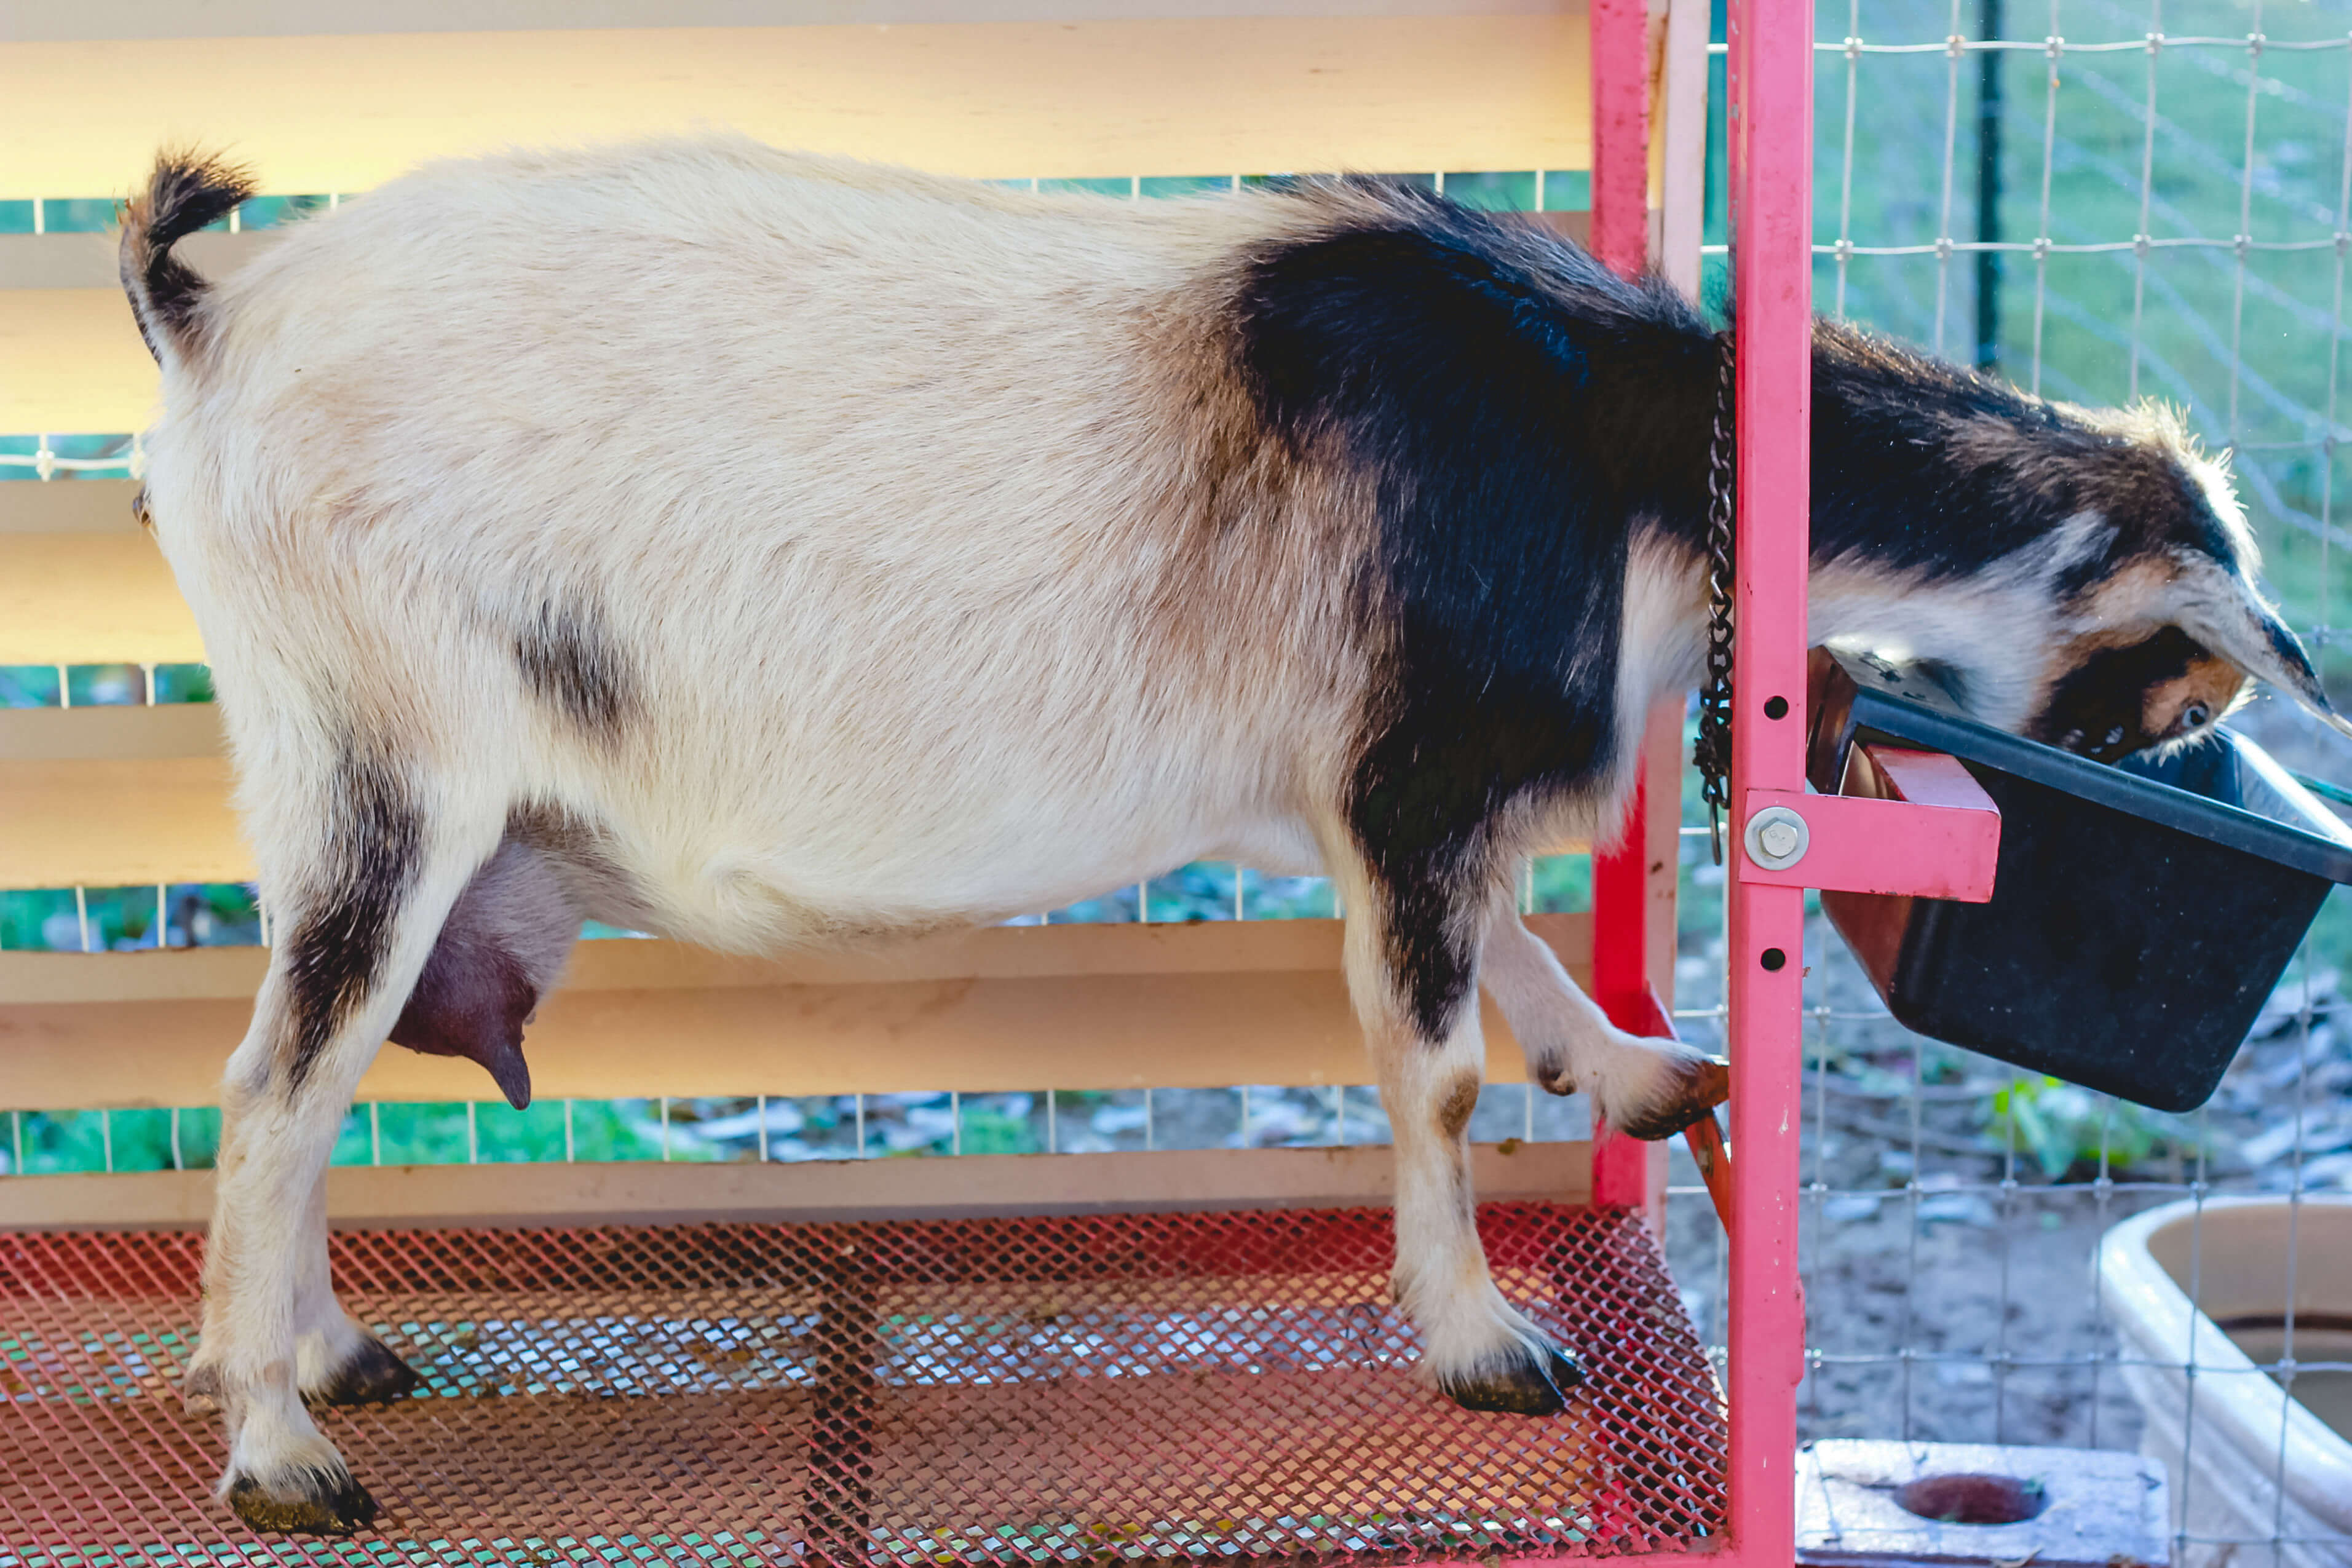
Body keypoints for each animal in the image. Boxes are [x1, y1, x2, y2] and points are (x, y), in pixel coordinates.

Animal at [124, 135, 2333, 1532]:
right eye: (2172, 689)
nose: (2177, 762)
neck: (1615, 440)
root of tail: (210, 322)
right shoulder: (1411, 764)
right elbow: (1435, 1071)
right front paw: (1481, 1341)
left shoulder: (1362, 793)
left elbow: (1512, 952)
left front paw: (1636, 1069)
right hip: (386, 761)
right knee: (270, 1082)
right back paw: (281, 1450)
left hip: (331, 779)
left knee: (296, 1073)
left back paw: (330, 1352)